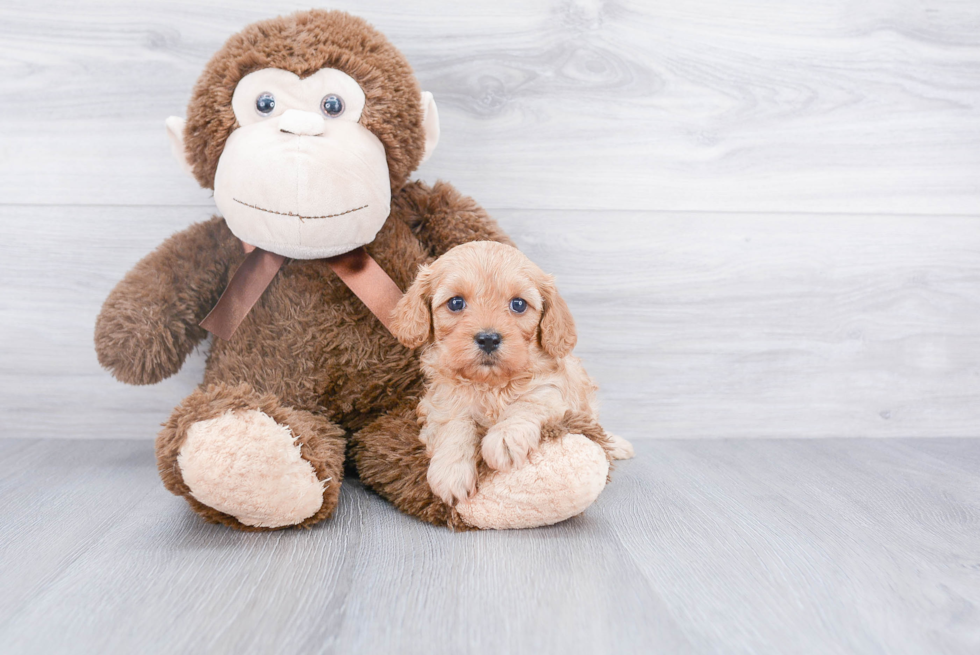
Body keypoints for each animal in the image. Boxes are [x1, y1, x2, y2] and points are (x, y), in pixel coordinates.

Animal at [390, 241, 636, 508]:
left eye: (518, 304)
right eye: (456, 303)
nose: (488, 338)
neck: (491, 384)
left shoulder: (552, 392)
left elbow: (527, 403)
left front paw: (505, 437)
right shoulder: (441, 401)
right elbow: (454, 423)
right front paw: (451, 471)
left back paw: (618, 445)